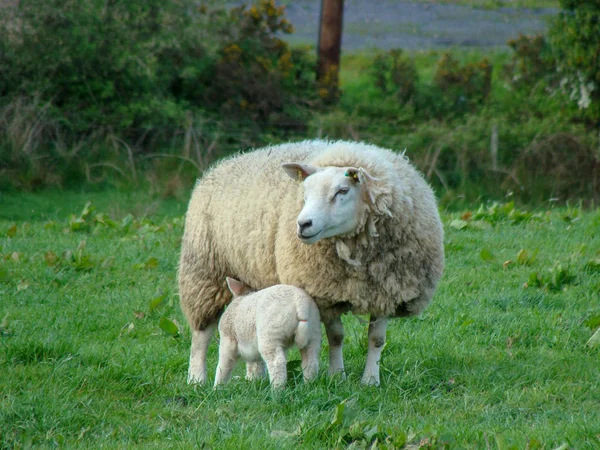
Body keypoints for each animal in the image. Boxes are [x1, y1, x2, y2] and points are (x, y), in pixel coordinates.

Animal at [176, 139, 442, 384]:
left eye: (342, 191)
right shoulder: (324, 294)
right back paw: (197, 379)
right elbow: (336, 337)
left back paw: (255, 378)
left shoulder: (387, 290)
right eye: (304, 194)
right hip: (204, 272)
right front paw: (337, 376)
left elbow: (376, 340)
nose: (303, 224)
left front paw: (370, 381)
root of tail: (222, 164)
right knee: (201, 335)